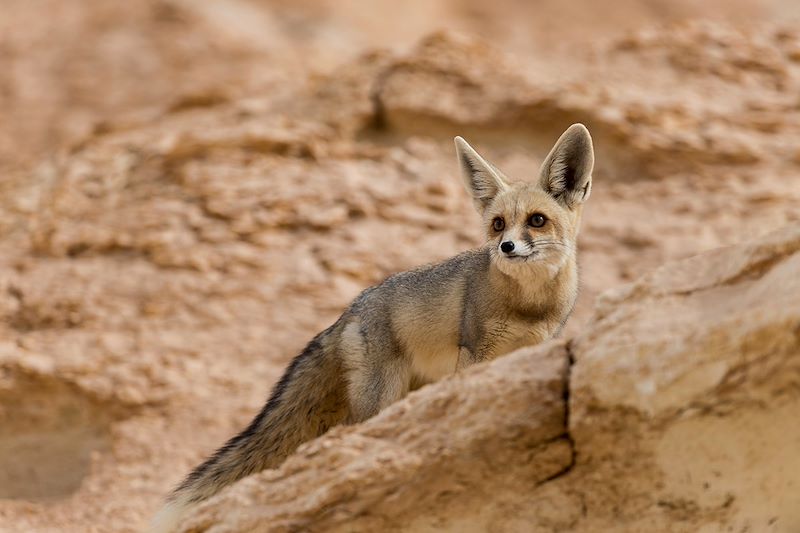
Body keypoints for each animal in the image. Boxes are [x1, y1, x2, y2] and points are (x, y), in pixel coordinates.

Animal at [155, 122, 592, 528]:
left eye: (537, 221)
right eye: (498, 224)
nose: (506, 248)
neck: (528, 304)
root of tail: (348, 310)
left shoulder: (533, 346)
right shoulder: (475, 350)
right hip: (382, 396)